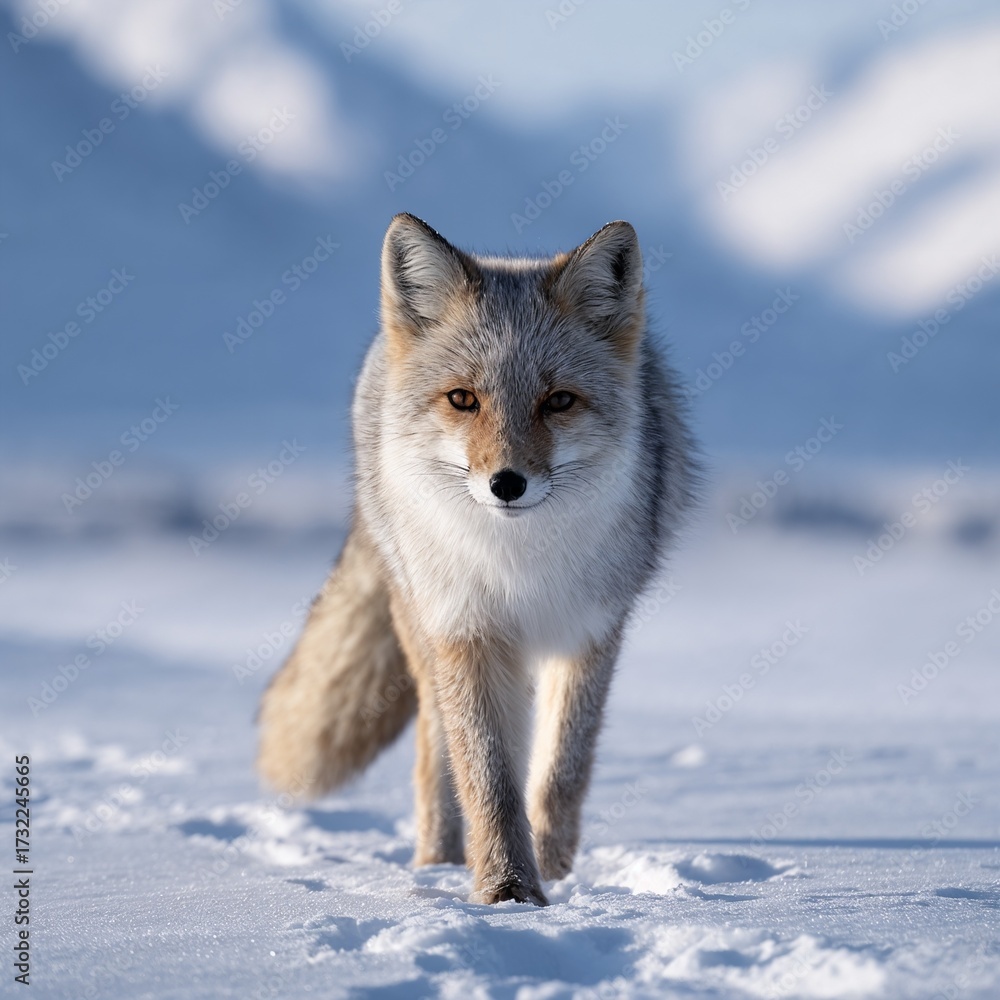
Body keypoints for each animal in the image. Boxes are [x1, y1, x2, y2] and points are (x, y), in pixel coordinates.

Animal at [257, 214, 696, 906]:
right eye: (464, 399)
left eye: (558, 401)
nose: (507, 484)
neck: (518, 569)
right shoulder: (467, 633)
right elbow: (488, 780)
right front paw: (508, 890)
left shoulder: (590, 633)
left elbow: (560, 774)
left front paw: (553, 874)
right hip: (427, 633)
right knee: (435, 754)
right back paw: (435, 865)